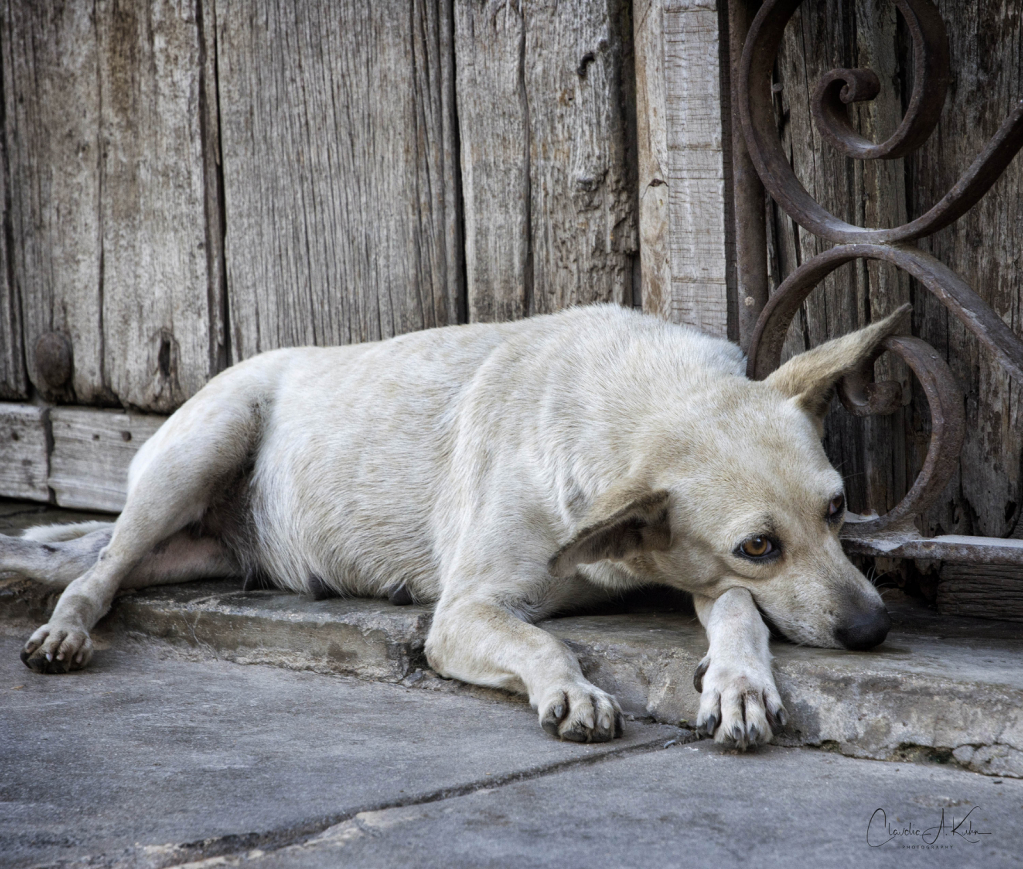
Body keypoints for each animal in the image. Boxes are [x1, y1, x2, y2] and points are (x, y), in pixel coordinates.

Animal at [0, 302, 900, 745]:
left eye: (836, 507)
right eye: (758, 544)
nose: (873, 629)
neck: (624, 401)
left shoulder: (696, 572)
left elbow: (740, 609)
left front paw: (740, 683)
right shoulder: (465, 612)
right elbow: (541, 640)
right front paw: (573, 689)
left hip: (196, 553)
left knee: (108, 567)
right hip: (200, 448)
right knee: (94, 573)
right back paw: (66, 631)